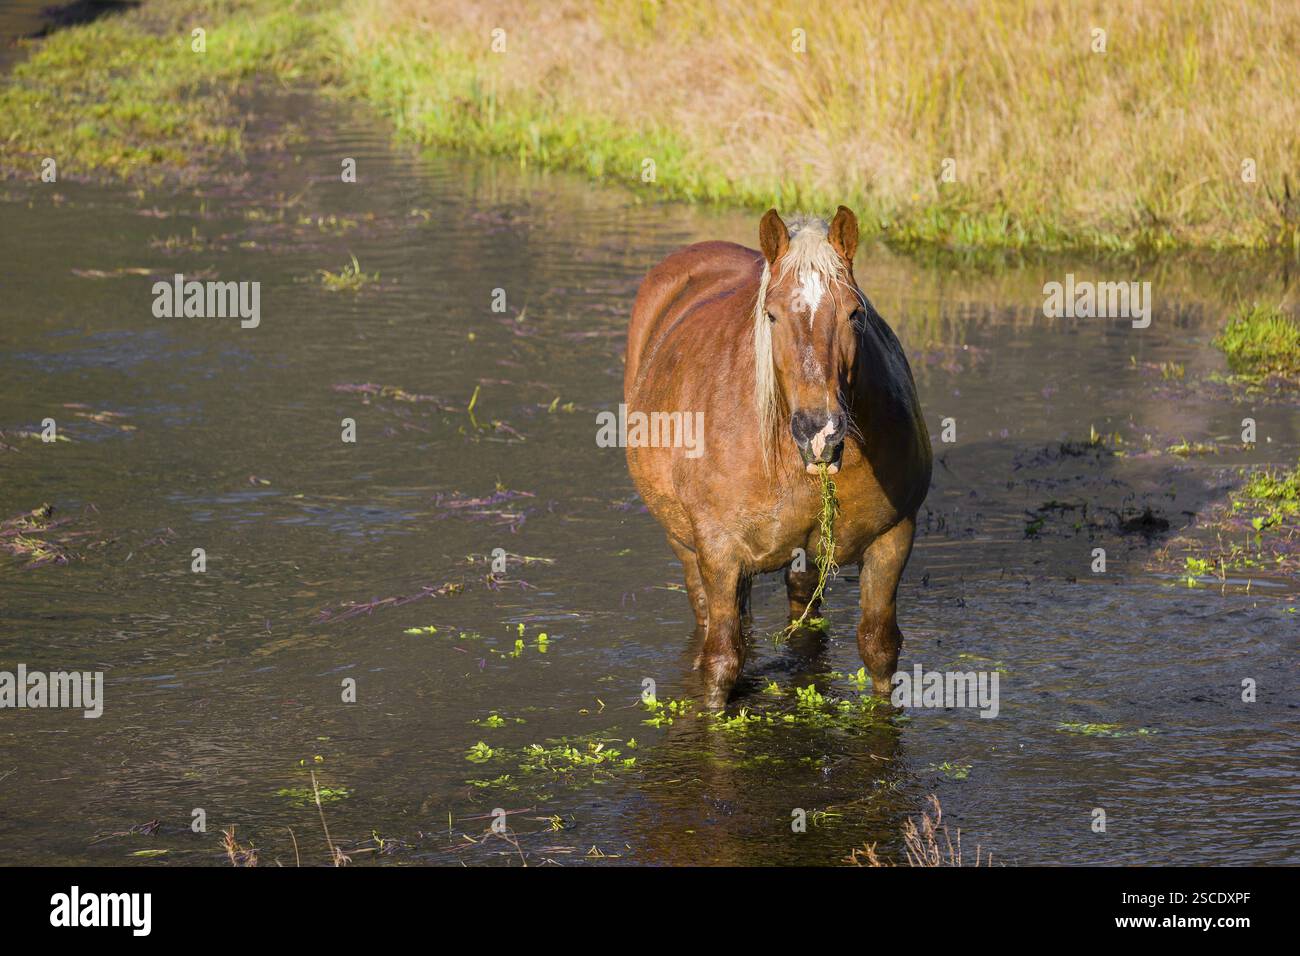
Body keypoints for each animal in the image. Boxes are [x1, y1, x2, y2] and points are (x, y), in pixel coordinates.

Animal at [624, 206, 932, 707]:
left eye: (855, 312)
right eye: (771, 314)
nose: (818, 431)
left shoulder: (893, 538)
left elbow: (879, 648)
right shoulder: (719, 549)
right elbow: (721, 660)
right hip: (685, 544)